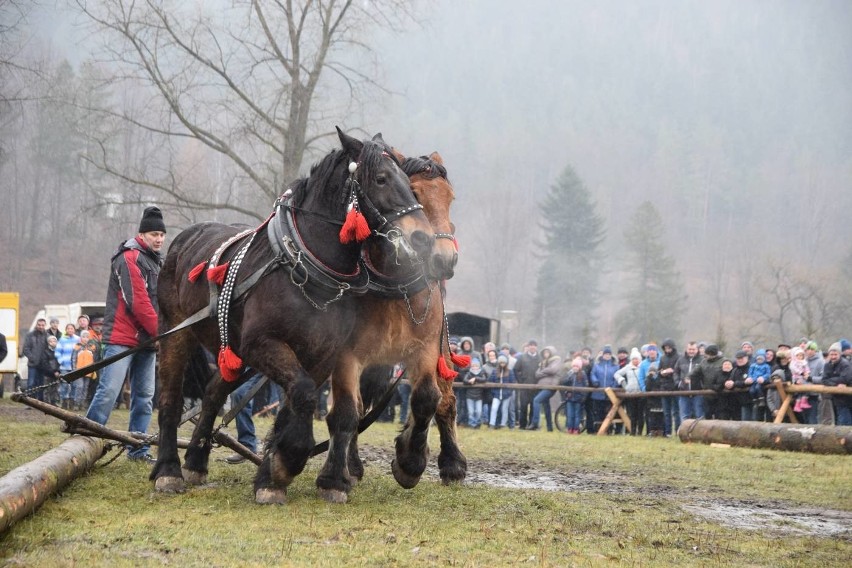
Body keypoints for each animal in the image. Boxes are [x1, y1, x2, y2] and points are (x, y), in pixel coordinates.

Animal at [149, 130, 436, 496]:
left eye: (409, 183)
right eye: (382, 179)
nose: (424, 239)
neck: (306, 266)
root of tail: (185, 236)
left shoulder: (322, 354)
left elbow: (295, 403)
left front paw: (274, 470)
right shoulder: (263, 344)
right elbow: (302, 393)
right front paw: (287, 461)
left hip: (234, 351)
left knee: (213, 391)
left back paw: (196, 462)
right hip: (176, 329)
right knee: (170, 399)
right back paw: (168, 469)